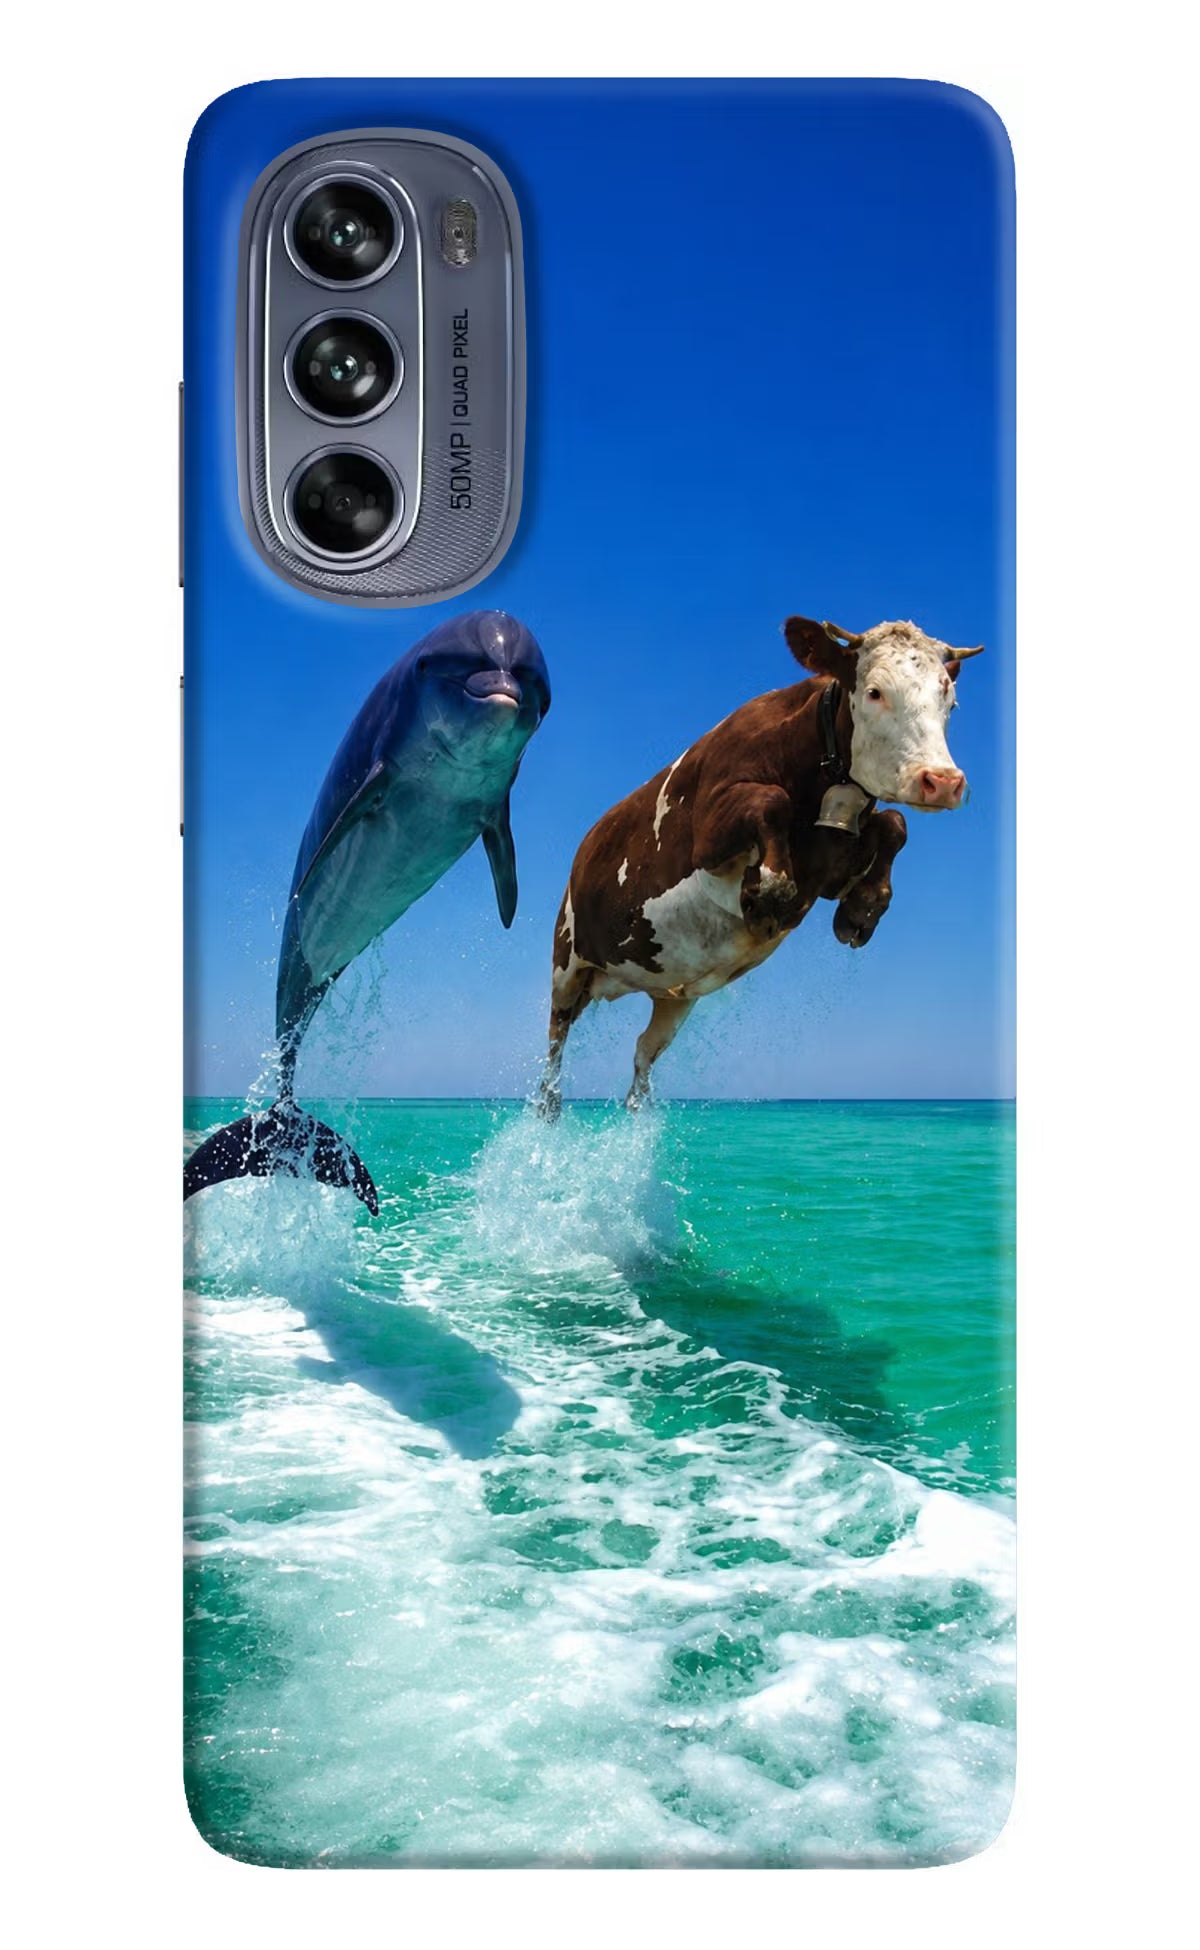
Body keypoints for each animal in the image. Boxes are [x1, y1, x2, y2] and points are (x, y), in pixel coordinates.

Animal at [536, 614, 984, 1117]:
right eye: (874, 691)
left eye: (950, 699)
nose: (942, 781)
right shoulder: (709, 834)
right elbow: (772, 801)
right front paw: (768, 893)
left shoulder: (830, 866)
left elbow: (894, 823)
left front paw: (862, 910)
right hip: (566, 962)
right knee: (554, 1043)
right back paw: (548, 1106)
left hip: (673, 995)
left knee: (642, 1054)